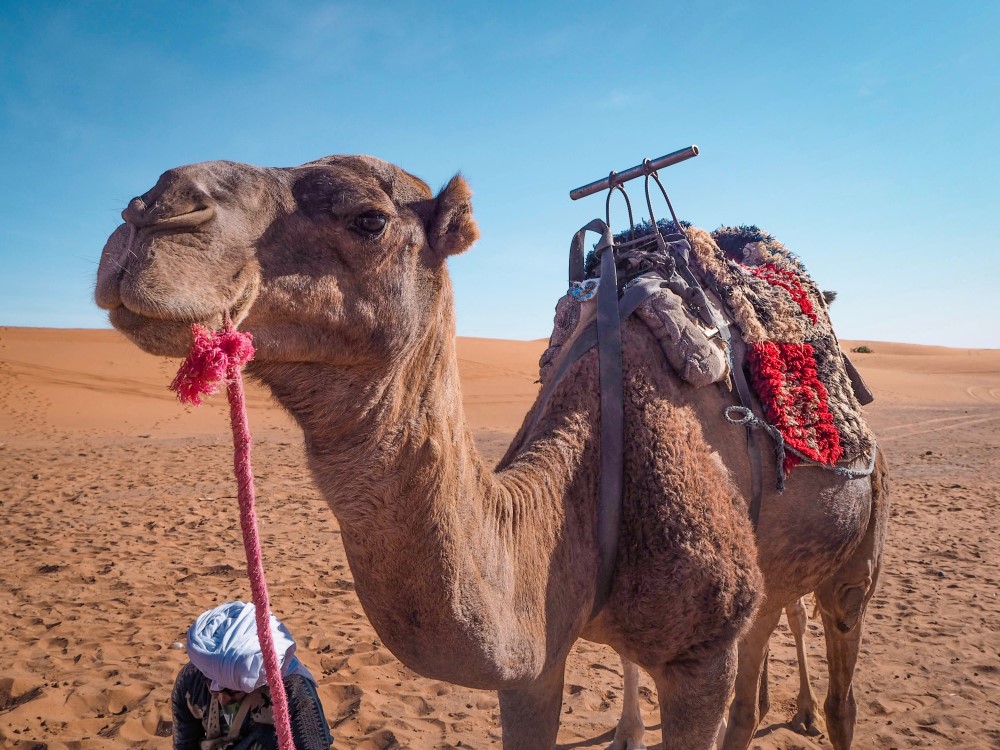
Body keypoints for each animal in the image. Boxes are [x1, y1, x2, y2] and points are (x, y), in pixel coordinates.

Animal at [95, 154, 892, 750]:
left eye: (367, 218)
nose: (152, 211)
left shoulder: (699, 658)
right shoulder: (534, 659)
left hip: (859, 548)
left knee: (840, 686)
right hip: (768, 585)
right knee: (762, 658)